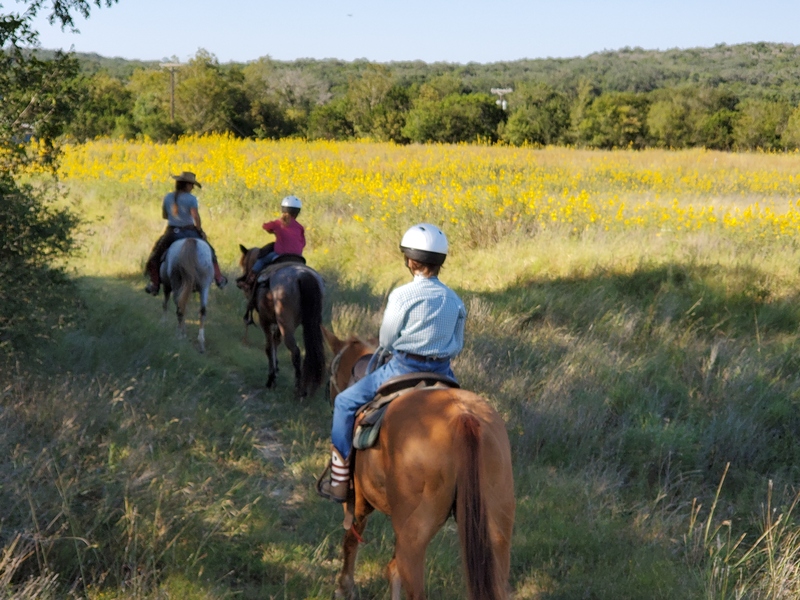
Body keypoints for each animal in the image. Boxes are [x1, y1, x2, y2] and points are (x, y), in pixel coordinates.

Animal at [238, 244, 324, 398]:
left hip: (286, 325)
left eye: (243, 263)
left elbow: (268, 346)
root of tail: (303, 275)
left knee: (295, 352)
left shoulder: (265, 320)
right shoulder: (278, 324)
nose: (243, 282)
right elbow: (275, 342)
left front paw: (271, 379)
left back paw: (298, 390)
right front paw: (276, 368)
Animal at [322, 328, 516, 600]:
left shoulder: (358, 501)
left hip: (414, 534)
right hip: (496, 530)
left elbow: (351, 538)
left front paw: (344, 587)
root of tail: (463, 418)